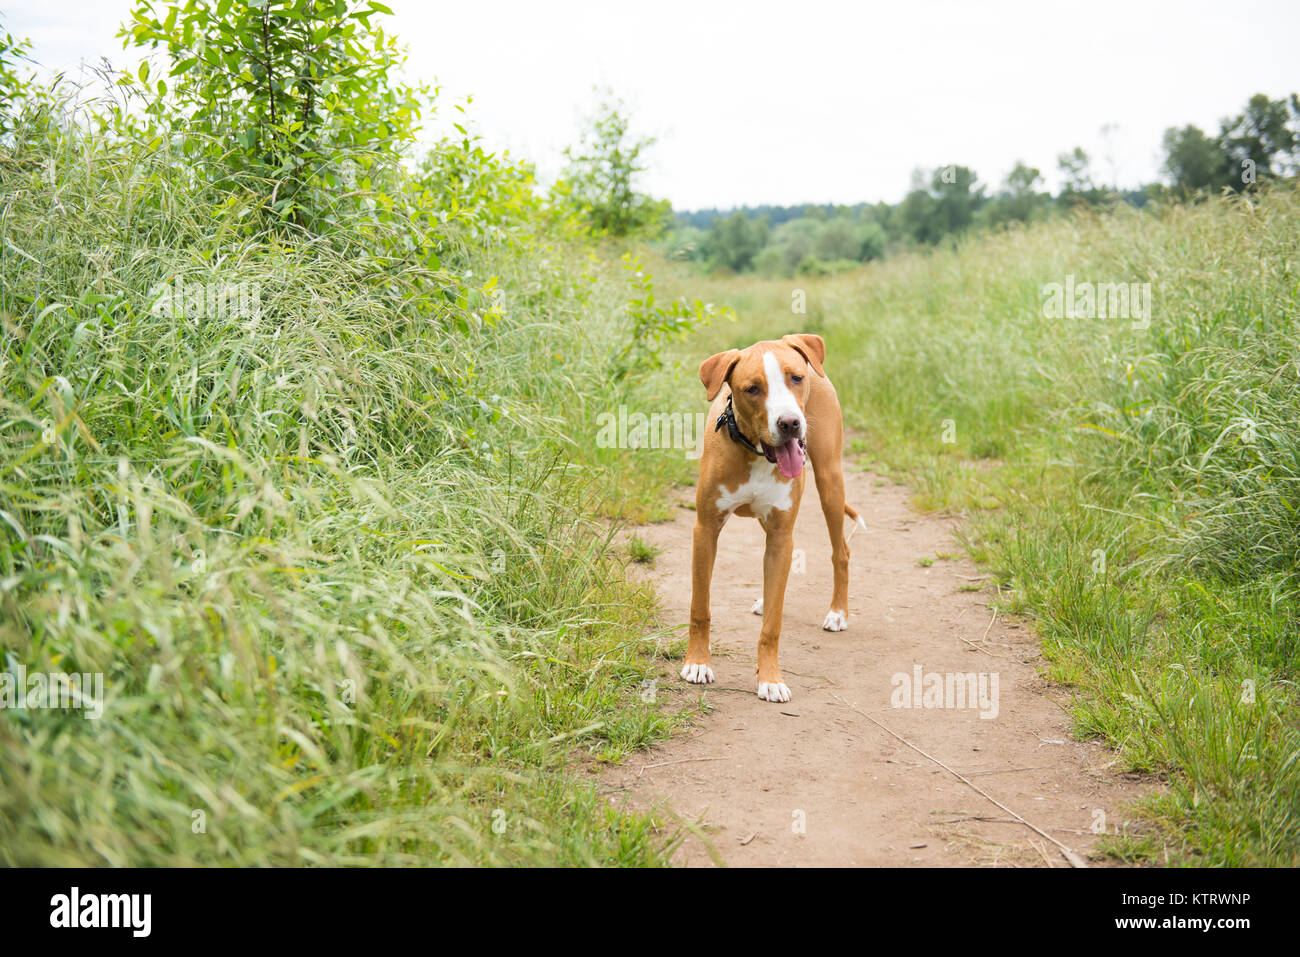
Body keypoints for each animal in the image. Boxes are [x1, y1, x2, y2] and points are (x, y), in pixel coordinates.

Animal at [681, 335, 863, 702]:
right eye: (752, 389)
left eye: (796, 378)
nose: (790, 422)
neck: (755, 451)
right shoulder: (705, 530)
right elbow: (700, 607)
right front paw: (697, 663)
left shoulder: (780, 534)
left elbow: (773, 626)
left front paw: (770, 679)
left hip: (830, 483)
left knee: (841, 551)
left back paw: (837, 613)